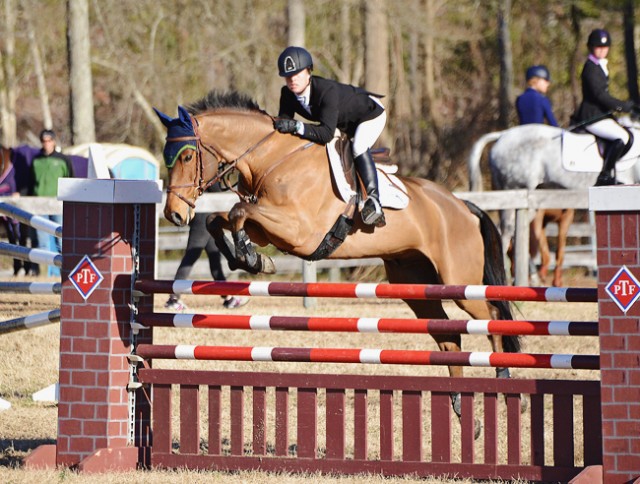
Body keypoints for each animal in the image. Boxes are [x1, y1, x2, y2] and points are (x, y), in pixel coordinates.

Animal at [155, 91, 520, 420]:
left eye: (186, 157)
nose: (174, 214)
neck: (273, 159)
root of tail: (463, 206)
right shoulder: (273, 227)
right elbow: (222, 219)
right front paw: (248, 258)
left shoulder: (299, 232)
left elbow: (237, 211)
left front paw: (249, 256)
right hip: (415, 283)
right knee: (448, 337)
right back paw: (461, 407)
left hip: (460, 282)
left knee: (491, 318)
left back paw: (502, 385)